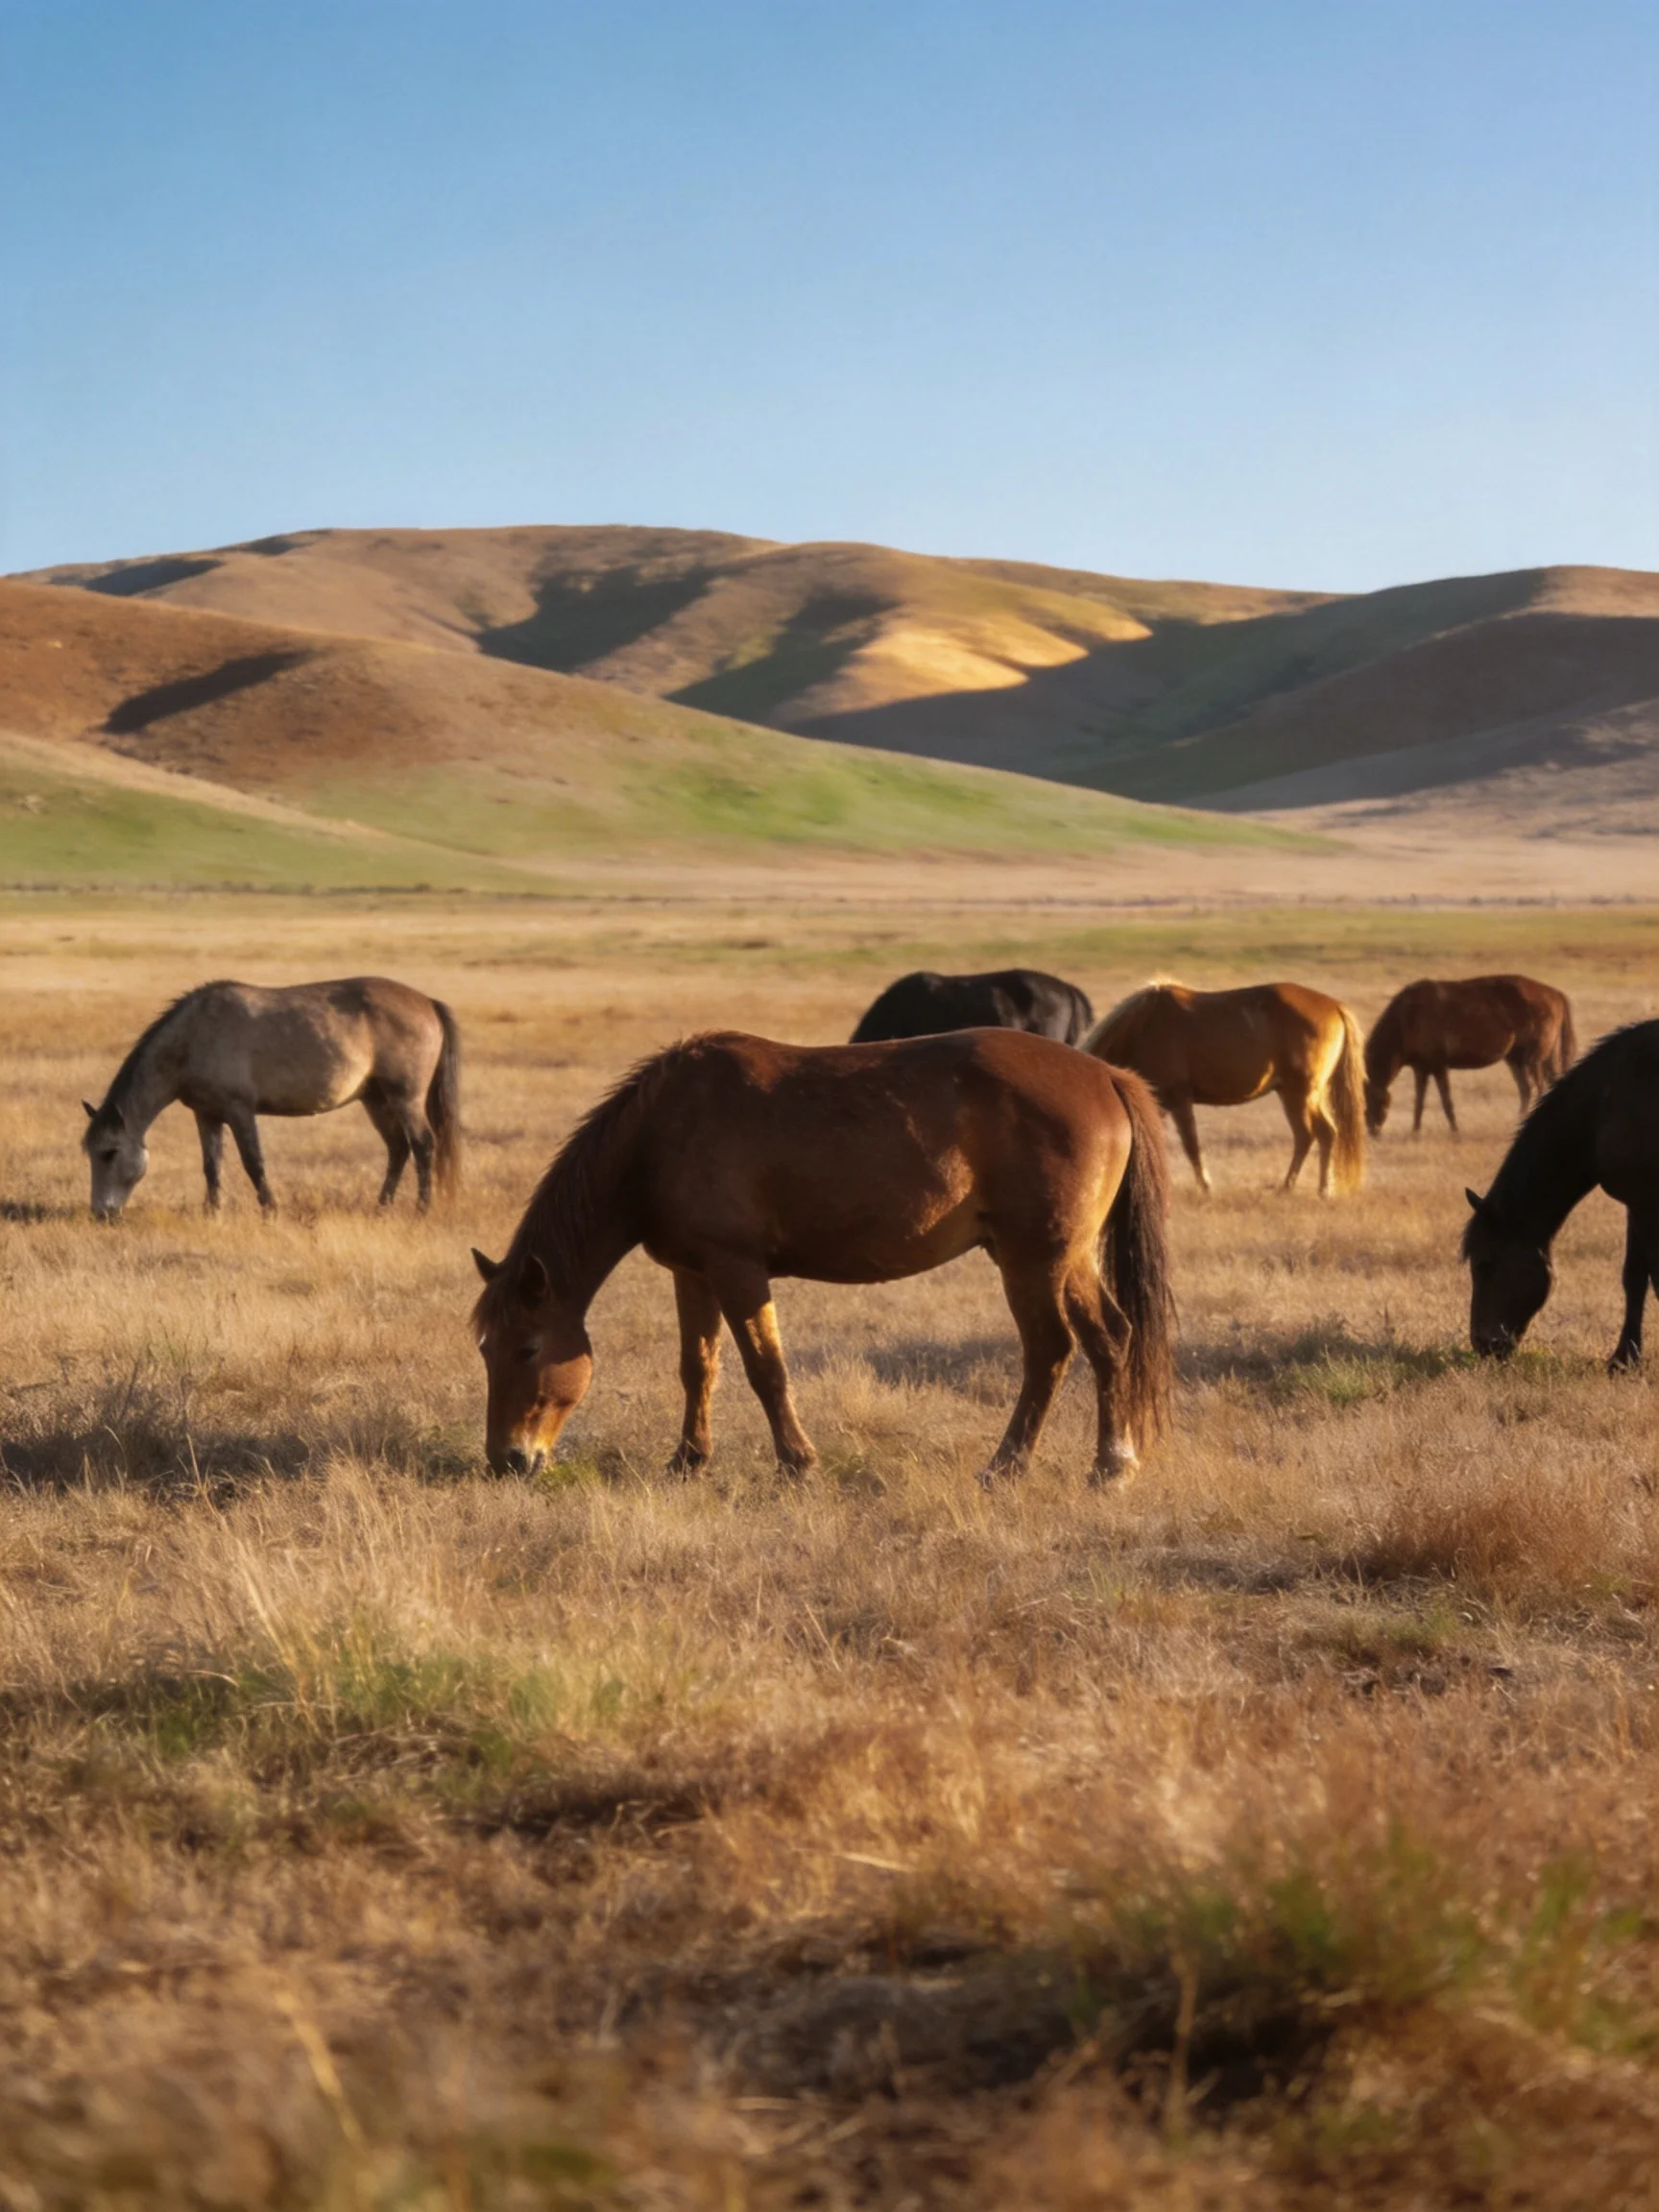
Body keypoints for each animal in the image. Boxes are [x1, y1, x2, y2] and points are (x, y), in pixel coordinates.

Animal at [82, 978, 460, 1218]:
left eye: (109, 1152)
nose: (102, 1213)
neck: (193, 1038)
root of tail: (428, 1003)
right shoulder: (207, 1115)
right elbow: (211, 1166)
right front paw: (212, 1212)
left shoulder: (239, 1111)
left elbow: (254, 1162)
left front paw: (270, 1210)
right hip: (376, 1100)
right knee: (398, 1149)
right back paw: (381, 1207)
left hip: (405, 1099)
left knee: (423, 1145)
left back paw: (421, 1210)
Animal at [472, 1028, 1173, 1487]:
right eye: (485, 1350)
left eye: (527, 1349)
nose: (508, 1460)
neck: (662, 1134)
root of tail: (1105, 1075)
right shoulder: (693, 1274)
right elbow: (698, 1368)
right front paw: (688, 1461)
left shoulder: (737, 1269)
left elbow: (766, 1370)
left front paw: (796, 1463)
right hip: (1068, 1260)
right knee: (1111, 1338)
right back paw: (1112, 1464)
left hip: (1033, 1262)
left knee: (1050, 1350)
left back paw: (1007, 1465)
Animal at [1082, 981, 1366, 1196]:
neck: (1142, 1028)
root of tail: (1335, 1006)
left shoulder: (1179, 1099)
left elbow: (1191, 1145)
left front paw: (1205, 1186)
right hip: (1301, 1094)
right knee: (1322, 1134)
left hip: (1300, 1094)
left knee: (1312, 1135)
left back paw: (1298, 1188)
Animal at [1365, 975, 1576, 1136]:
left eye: (1370, 1100)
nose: (1372, 1131)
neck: (1407, 1019)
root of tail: (1555, 995)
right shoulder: (1422, 1069)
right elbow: (1419, 1101)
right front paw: (1415, 1132)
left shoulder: (1439, 1066)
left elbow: (1446, 1101)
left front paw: (1455, 1132)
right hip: (1519, 1059)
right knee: (1528, 1089)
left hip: (1532, 1060)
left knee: (1539, 1088)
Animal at [1463, 1021, 1659, 1372]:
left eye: (1484, 1264)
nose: (1483, 1345)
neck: (1606, 1103)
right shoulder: (1635, 1204)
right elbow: (1635, 1277)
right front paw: (1624, 1360)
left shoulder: (1646, 1202)